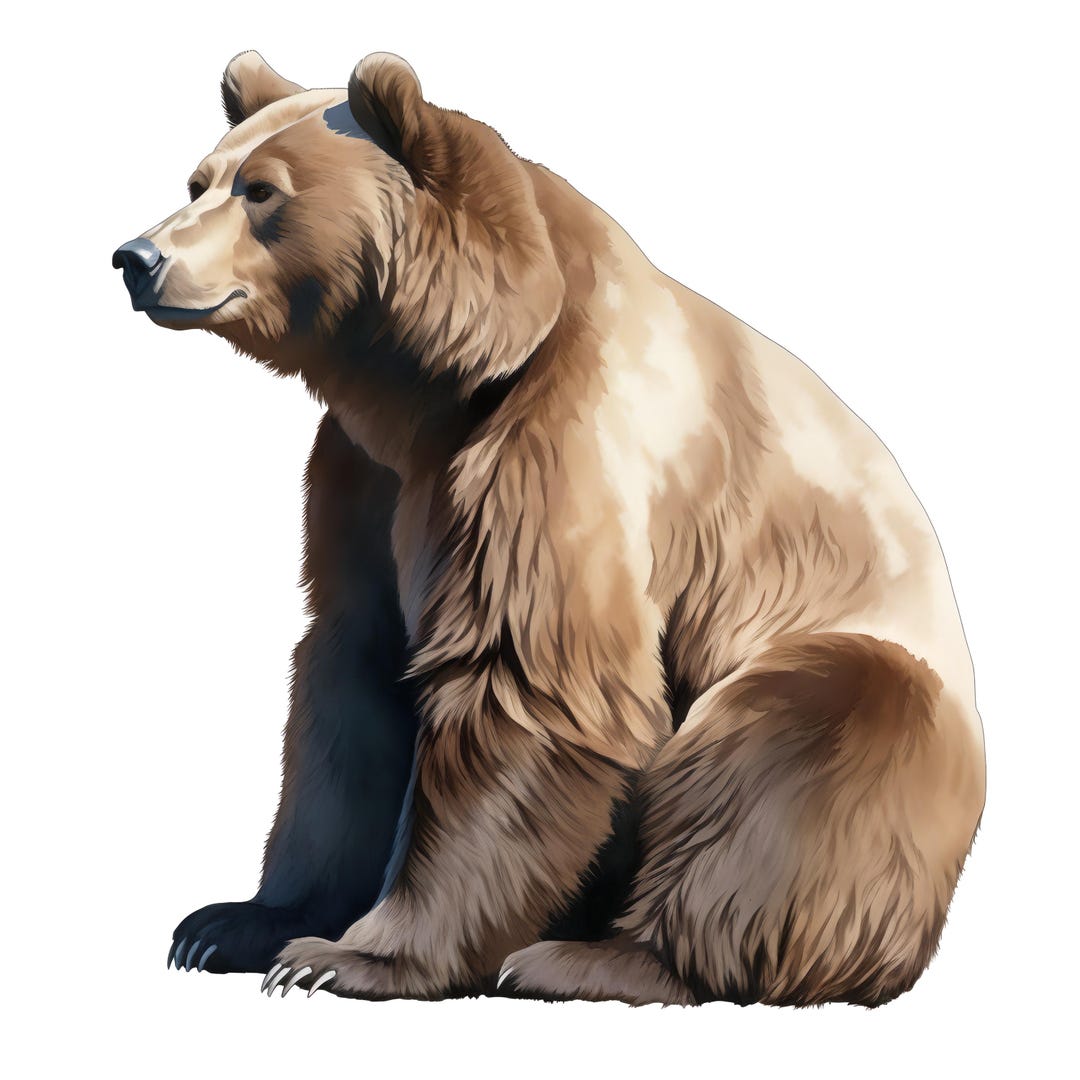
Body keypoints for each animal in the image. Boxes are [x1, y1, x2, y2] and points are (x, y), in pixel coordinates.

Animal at [113, 50, 986, 1005]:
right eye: (199, 179)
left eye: (264, 190)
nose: (136, 256)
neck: (429, 378)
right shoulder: (366, 480)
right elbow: (351, 675)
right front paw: (236, 922)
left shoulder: (553, 441)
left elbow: (524, 684)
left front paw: (350, 956)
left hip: (867, 704)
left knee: (796, 743)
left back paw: (597, 957)